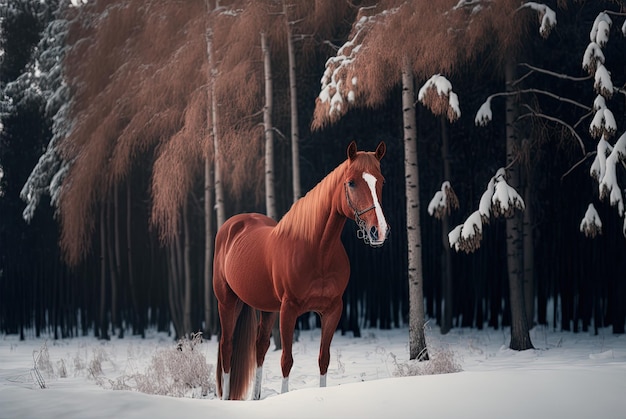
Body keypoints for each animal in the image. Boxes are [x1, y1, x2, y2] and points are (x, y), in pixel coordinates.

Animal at [214, 142, 388, 400]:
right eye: (351, 182)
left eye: (381, 181)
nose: (379, 231)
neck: (318, 252)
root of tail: (232, 225)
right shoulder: (289, 310)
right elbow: (286, 360)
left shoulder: (332, 310)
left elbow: (324, 359)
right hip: (227, 301)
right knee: (226, 347)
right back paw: (226, 398)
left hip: (267, 309)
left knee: (260, 346)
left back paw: (256, 397)